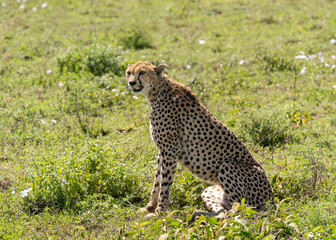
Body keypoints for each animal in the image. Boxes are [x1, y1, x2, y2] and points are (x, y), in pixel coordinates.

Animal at [126, 61, 272, 218]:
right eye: (129, 72)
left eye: (142, 72)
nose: (131, 82)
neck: (157, 91)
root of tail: (271, 199)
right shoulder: (163, 150)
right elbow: (157, 180)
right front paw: (150, 207)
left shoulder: (171, 149)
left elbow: (165, 184)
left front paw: (159, 213)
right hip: (208, 191)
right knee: (224, 213)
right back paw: (197, 215)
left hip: (229, 166)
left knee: (240, 212)